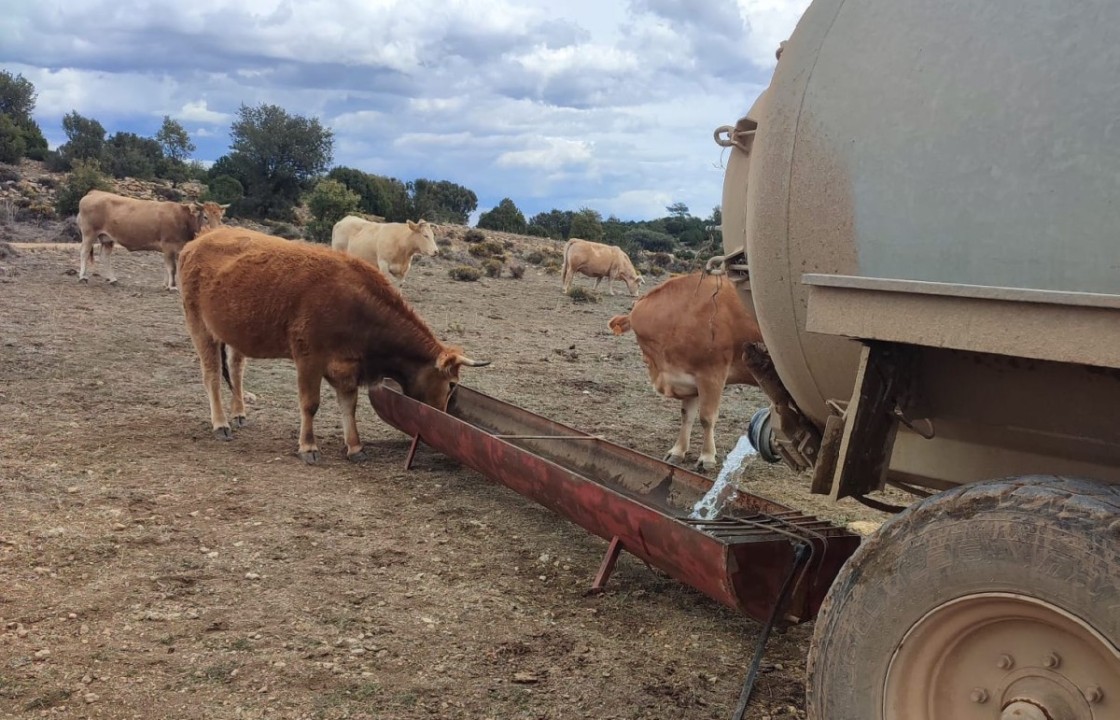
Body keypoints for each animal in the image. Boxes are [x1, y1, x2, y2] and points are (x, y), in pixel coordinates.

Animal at [77, 192, 227, 293]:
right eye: (206, 217)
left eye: (221, 217)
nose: (217, 232)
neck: (182, 218)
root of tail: (94, 192)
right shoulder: (169, 245)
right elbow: (172, 268)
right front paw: (172, 286)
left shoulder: (175, 249)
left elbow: (168, 267)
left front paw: (166, 285)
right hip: (89, 233)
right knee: (84, 252)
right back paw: (83, 277)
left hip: (107, 238)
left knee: (105, 257)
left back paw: (112, 279)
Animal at [179, 227, 486, 468]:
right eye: (451, 384)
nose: (442, 418)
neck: (355, 304)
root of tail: (198, 241)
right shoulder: (309, 359)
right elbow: (310, 404)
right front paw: (308, 447)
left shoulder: (347, 366)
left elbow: (349, 406)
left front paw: (355, 447)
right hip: (199, 327)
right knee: (212, 376)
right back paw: (221, 423)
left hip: (233, 333)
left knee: (235, 369)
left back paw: (239, 413)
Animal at [609, 273, 766, 470]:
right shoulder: (688, 379)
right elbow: (686, 416)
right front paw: (678, 451)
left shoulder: (712, 375)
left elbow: (707, 418)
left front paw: (707, 457)